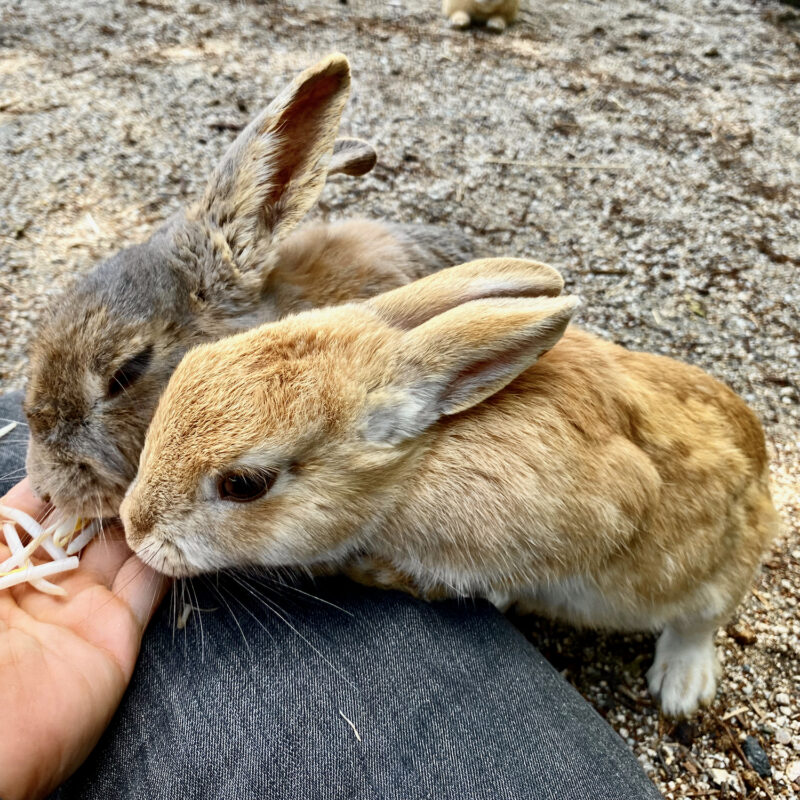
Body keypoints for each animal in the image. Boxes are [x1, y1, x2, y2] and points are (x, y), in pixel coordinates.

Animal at [120, 257, 779, 718]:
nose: (132, 528)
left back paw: (682, 687)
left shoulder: (592, 516)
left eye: (243, 485)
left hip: (711, 572)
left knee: (700, 618)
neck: (414, 465)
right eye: (191, 368)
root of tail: (765, 485)